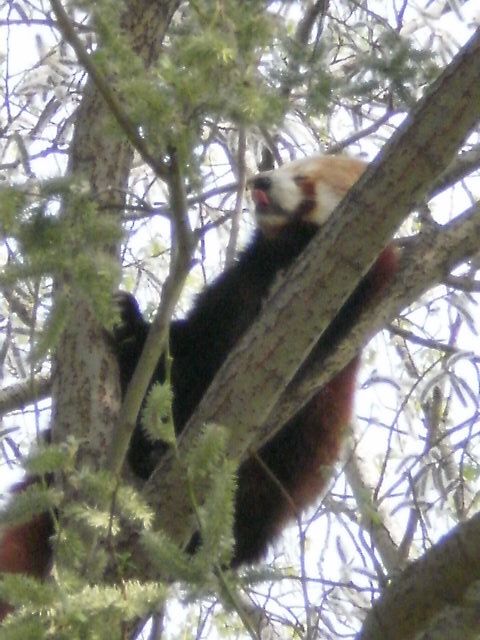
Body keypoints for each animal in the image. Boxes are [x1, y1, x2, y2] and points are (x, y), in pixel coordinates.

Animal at [0, 152, 398, 616]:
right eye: (285, 166)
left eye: (302, 178)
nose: (261, 180)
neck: (286, 254)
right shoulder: (231, 294)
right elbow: (182, 351)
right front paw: (131, 327)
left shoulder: (334, 323)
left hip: (276, 487)